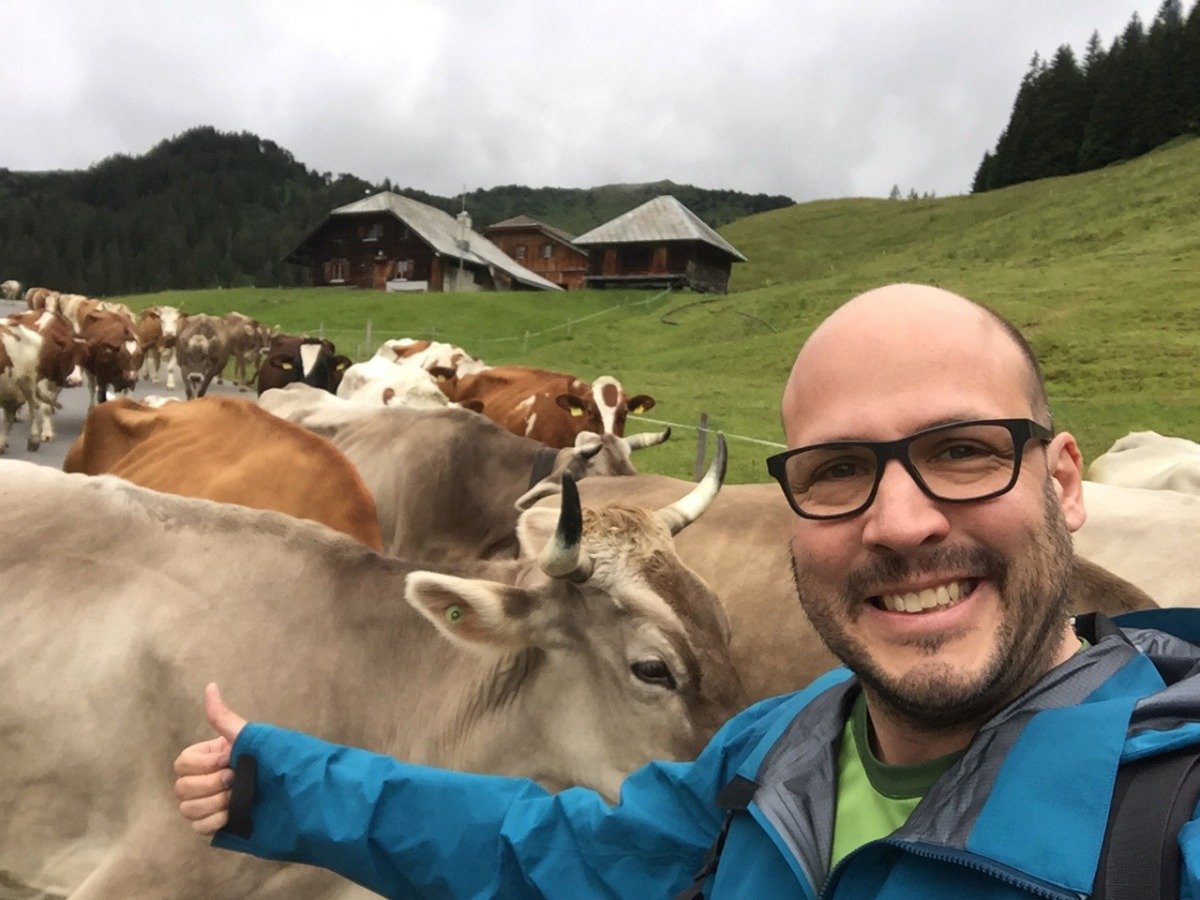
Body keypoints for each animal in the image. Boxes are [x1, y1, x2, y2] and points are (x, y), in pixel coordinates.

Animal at [0, 321, 44, 453]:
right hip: (8, 389)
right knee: (9, 415)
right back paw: (2, 444)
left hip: (27, 381)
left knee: (34, 406)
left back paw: (34, 440)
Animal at [6, 309, 86, 443]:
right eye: (68, 353)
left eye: (86, 356)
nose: (75, 380)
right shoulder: (42, 379)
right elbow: (46, 407)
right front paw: (47, 433)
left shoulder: (57, 383)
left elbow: (50, 401)